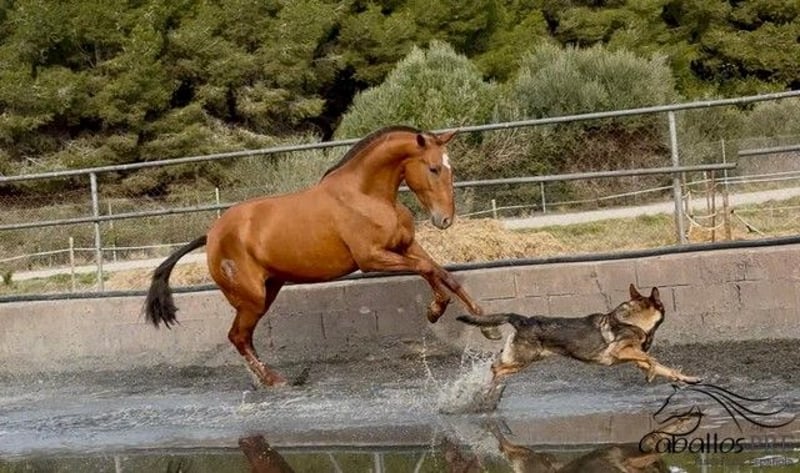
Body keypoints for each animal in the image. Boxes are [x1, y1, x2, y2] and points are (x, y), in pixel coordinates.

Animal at [144, 125, 499, 388]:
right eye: (433, 168)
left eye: (450, 170)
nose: (445, 220)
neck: (367, 195)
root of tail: (212, 234)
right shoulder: (372, 259)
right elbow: (428, 269)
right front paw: (436, 310)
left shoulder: (405, 246)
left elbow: (443, 273)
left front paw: (486, 324)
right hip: (252, 297)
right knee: (238, 337)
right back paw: (274, 381)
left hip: (268, 291)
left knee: (243, 336)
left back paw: (267, 379)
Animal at [457, 284, 701, 385]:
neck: (634, 320)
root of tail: (522, 319)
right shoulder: (620, 351)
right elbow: (652, 359)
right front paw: (651, 374)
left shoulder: (634, 357)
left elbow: (664, 367)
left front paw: (688, 378)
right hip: (521, 360)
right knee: (494, 369)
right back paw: (488, 391)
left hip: (521, 360)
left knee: (497, 365)